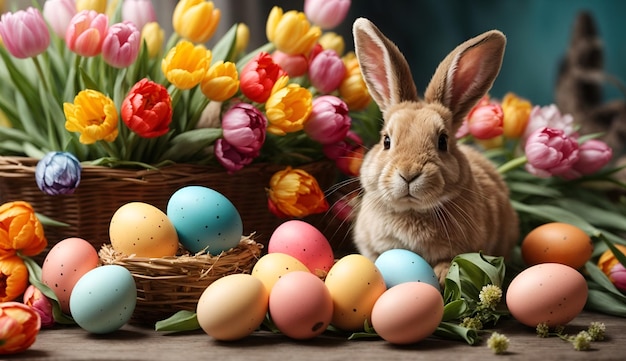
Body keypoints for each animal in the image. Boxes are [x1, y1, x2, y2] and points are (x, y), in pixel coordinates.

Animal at [352, 17, 516, 282]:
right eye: (386, 140)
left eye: (442, 141)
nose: (408, 174)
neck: (412, 212)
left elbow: (450, 261)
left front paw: (440, 274)